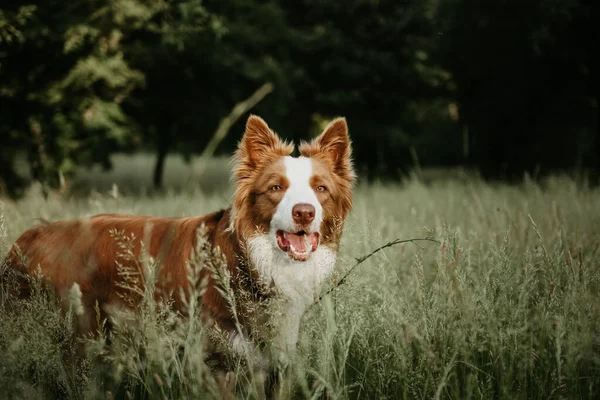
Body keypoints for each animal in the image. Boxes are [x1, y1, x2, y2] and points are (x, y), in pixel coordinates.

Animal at [1, 114, 356, 396]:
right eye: (275, 188)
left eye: (321, 189)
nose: (304, 213)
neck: (249, 262)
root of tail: (26, 239)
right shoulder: (217, 364)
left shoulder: (272, 362)